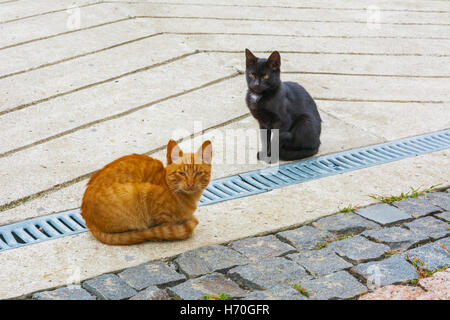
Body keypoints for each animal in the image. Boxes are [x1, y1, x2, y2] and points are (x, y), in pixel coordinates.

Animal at [81, 139, 213, 245]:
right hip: (134, 193)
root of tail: (88, 221)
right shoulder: (151, 199)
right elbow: (164, 226)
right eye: (181, 173)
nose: (190, 184)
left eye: (199, 173)